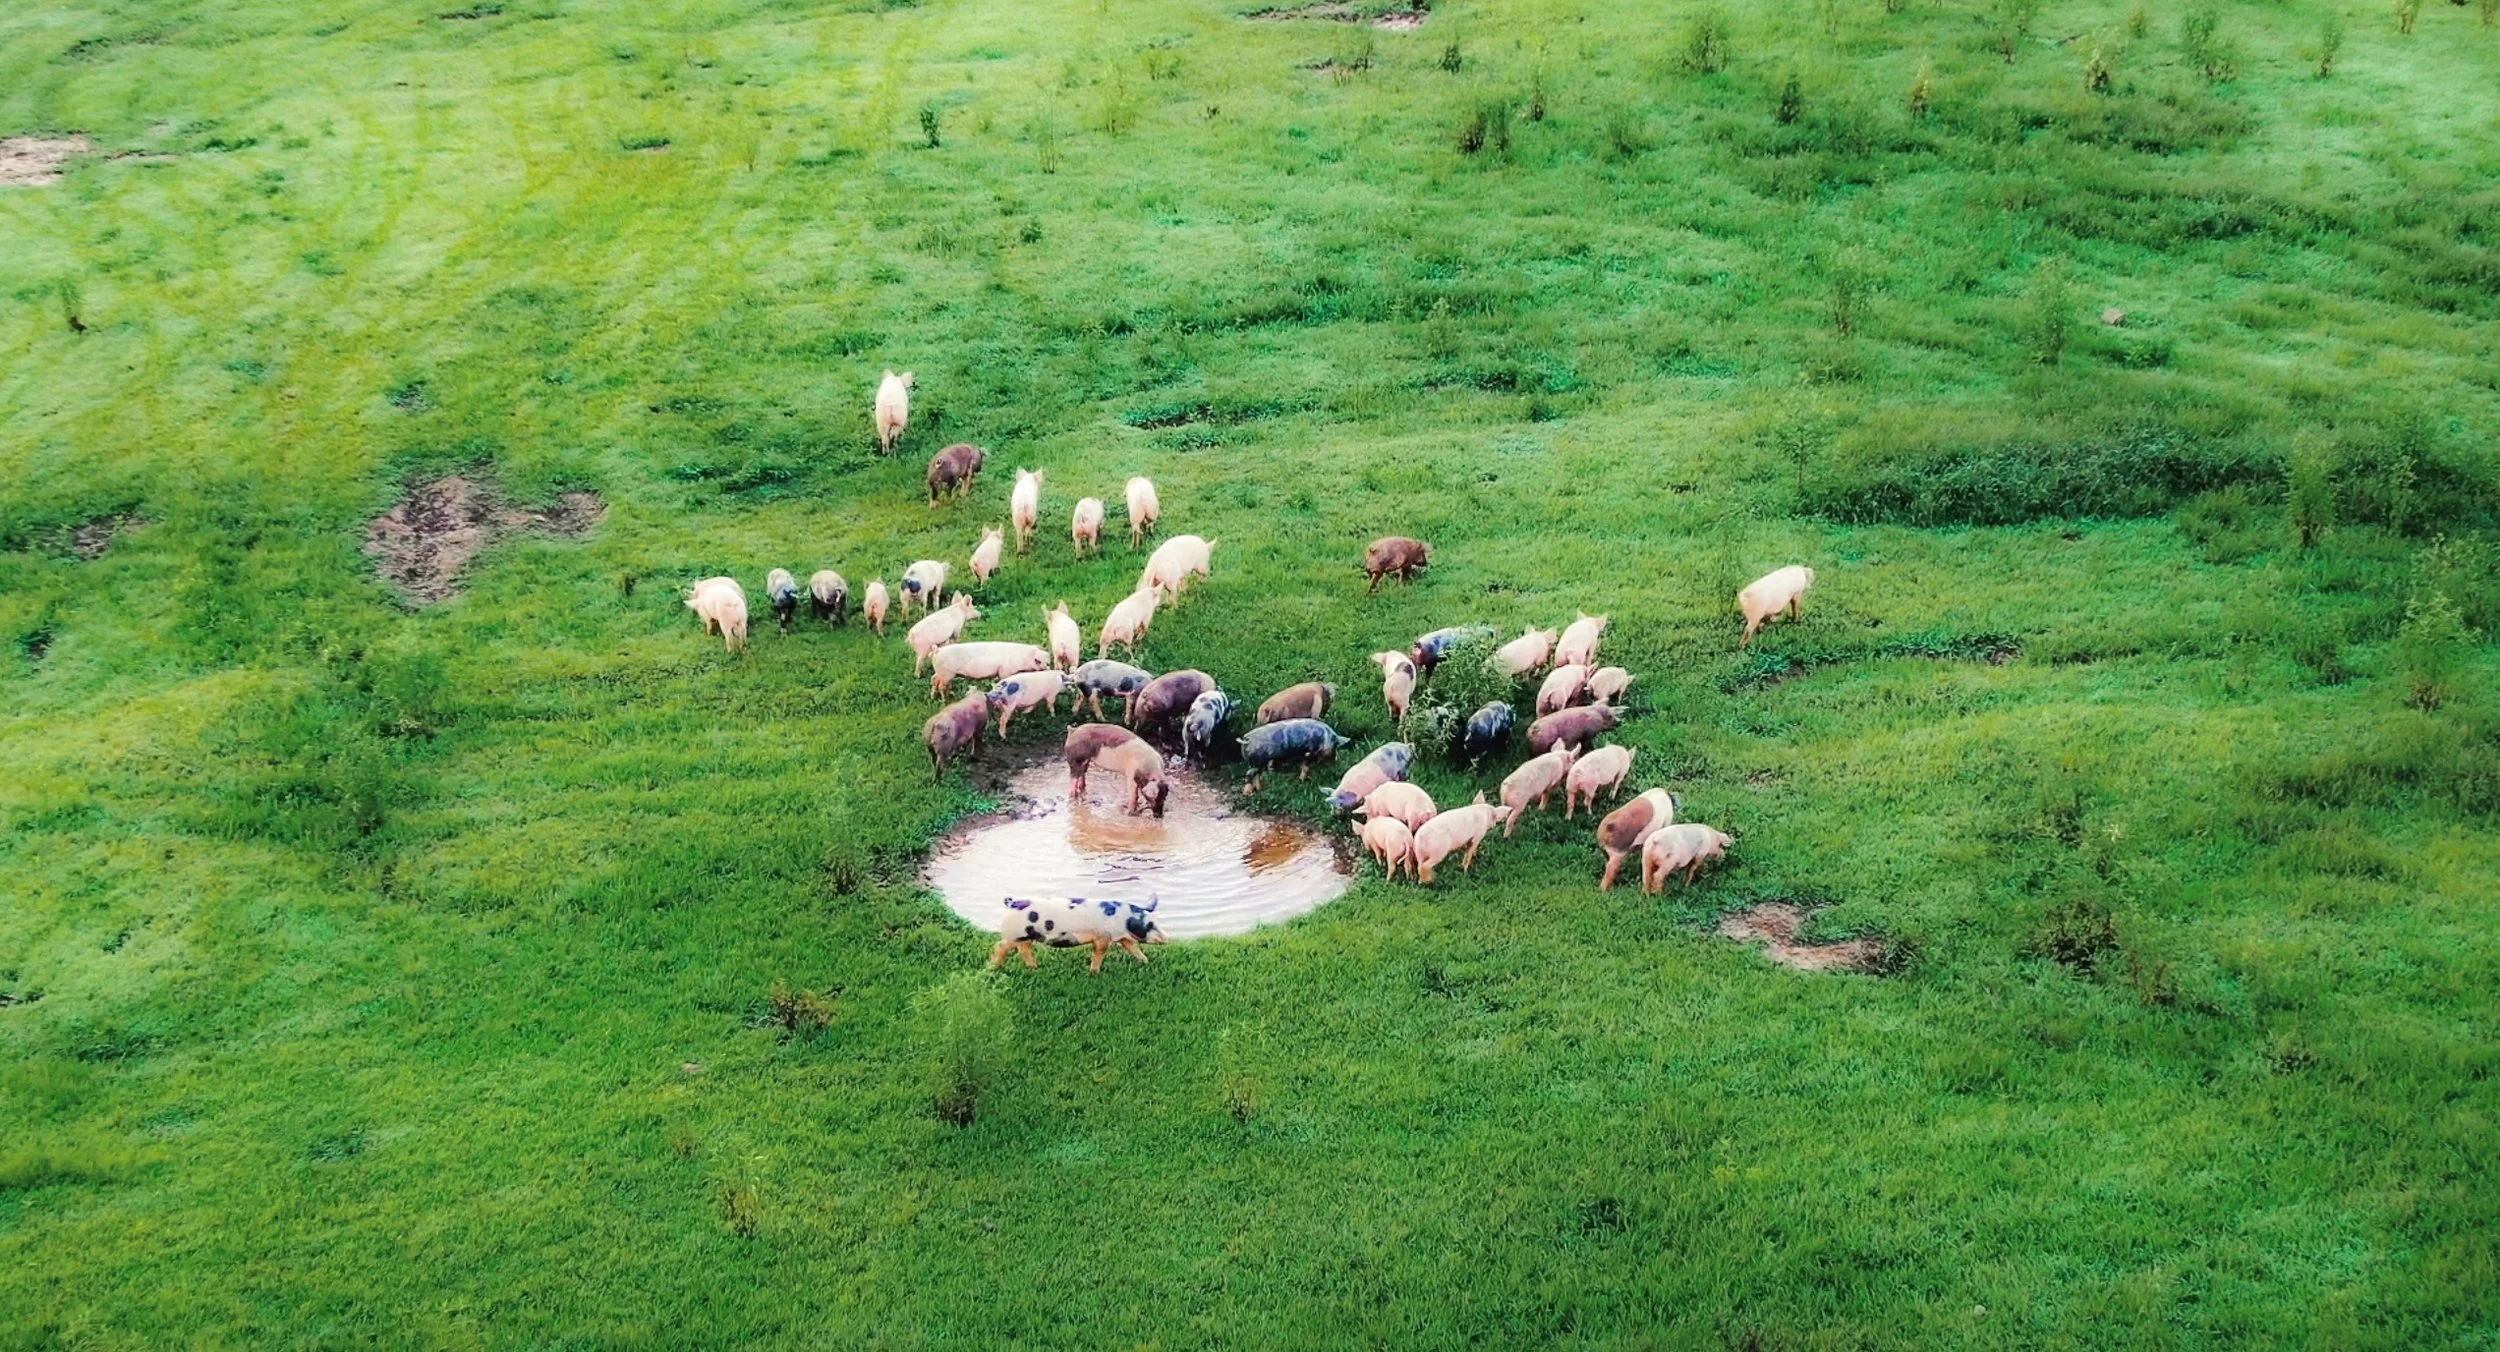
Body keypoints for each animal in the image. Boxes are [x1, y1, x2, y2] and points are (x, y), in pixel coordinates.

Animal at [989, 896, 1168, 973]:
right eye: (1150, 925)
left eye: (1155, 922)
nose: (1167, 937)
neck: (1123, 918)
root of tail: (1011, 903)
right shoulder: (1103, 937)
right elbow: (1099, 952)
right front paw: (1094, 972)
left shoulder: (1123, 937)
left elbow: (1133, 948)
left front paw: (1146, 962)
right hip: (1015, 935)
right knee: (1000, 946)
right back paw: (992, 967)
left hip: (1026, 937)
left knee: (1023, 949)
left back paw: (1034, 967)